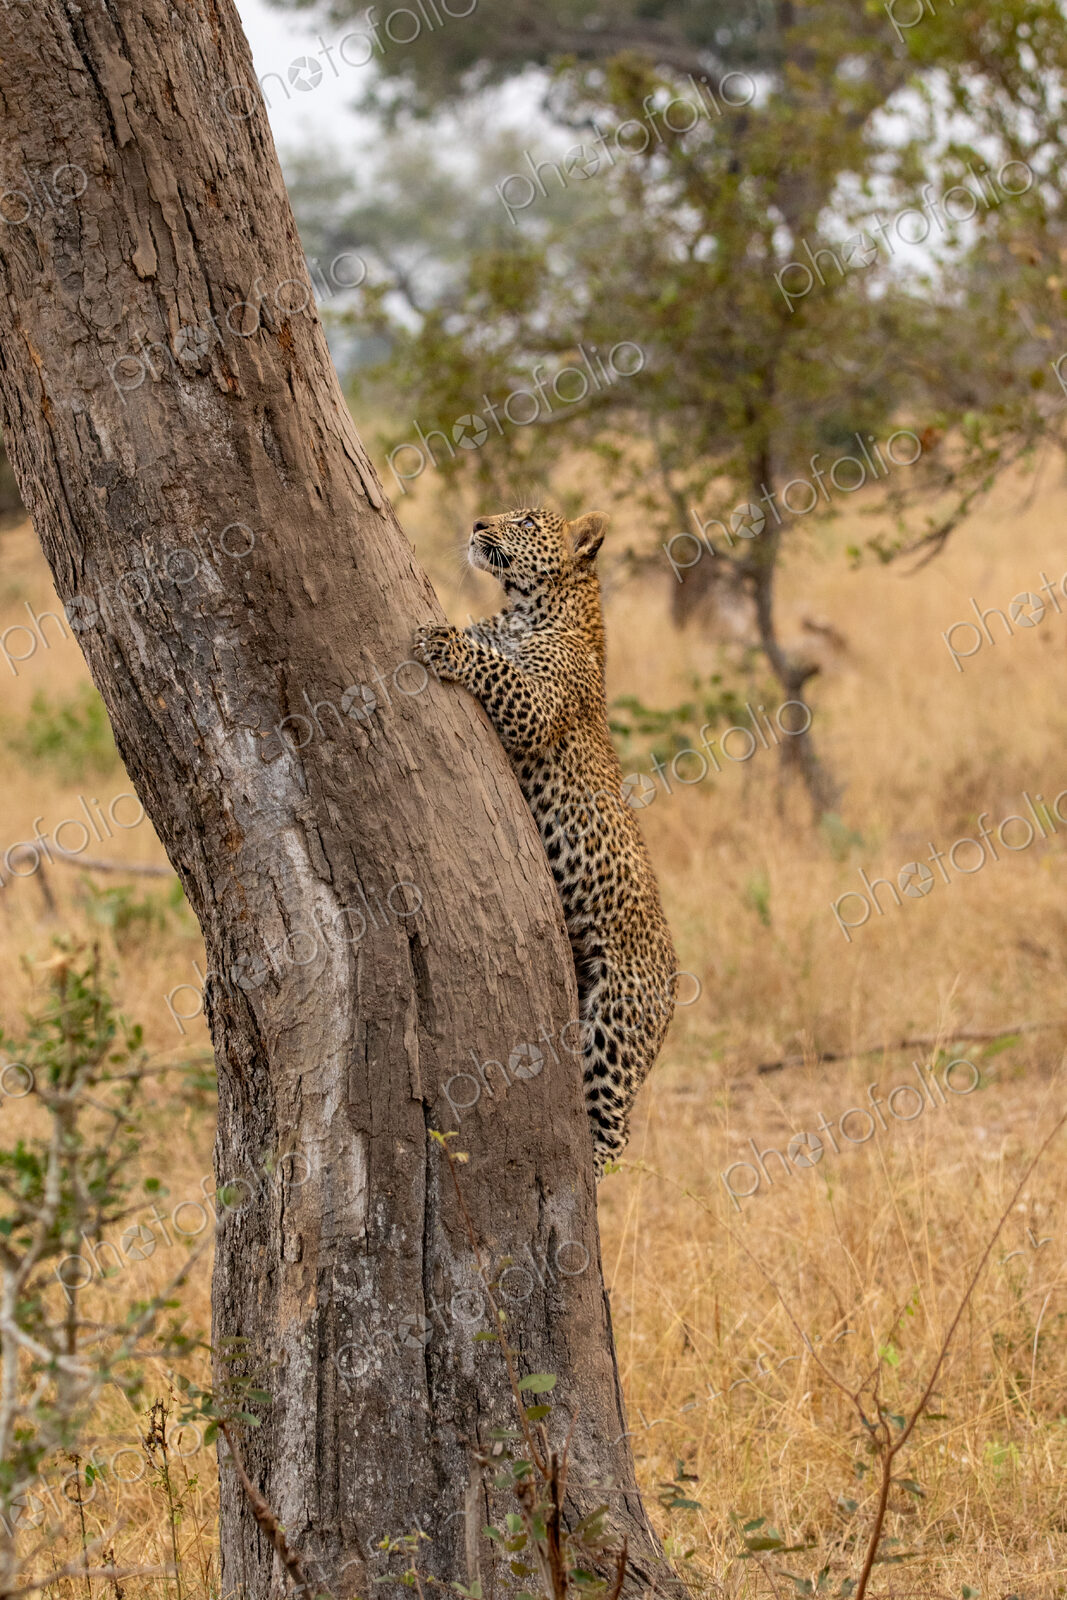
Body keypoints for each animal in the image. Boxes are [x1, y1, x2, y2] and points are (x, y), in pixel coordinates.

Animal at [414, 505, 678, 1177]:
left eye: (527, 521)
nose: (478, 521)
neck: (525, 608)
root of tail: (675, 988)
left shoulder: (534, 704)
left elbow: (495, 668)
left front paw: (443, 642)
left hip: (616, 1023)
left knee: (613, 1126)